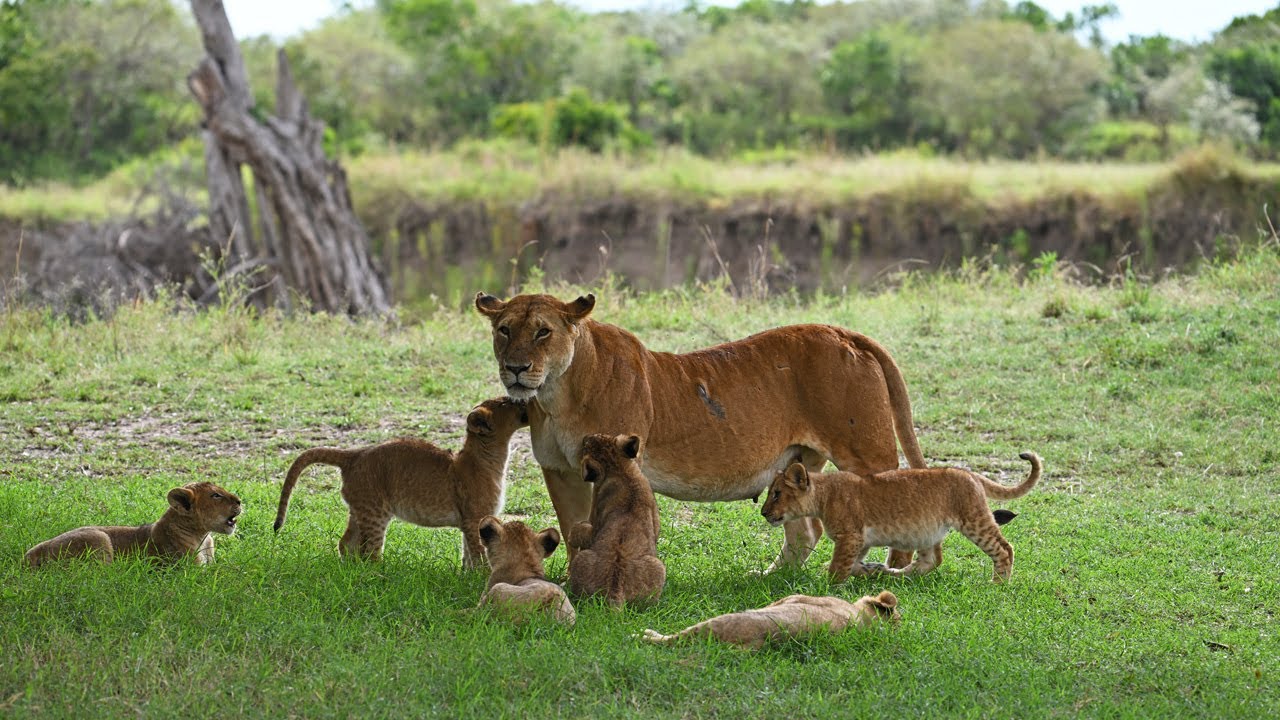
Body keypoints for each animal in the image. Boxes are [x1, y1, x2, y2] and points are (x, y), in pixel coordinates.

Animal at [273, 397, 528, 566]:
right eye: (505, 403)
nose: (520, 398)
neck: (491, 457)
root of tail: (355, 454)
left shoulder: (469, 521)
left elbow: (468, 554)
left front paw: (466, 575)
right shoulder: (474, 519)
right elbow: (478, 554)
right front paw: (481, 578)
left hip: (359, 509)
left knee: (346, 544)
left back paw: (349, 571)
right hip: (376, 512)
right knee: (370, 552)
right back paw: (379, 575)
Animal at [474, 291, 927, 572]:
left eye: (543, 331)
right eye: (504, 330)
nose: (515, 368)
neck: (557, 395)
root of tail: (844, 331)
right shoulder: (560, 470)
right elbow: (572, 531)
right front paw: (571, 581)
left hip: (865, 452)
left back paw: (893, 571)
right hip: (798, 463)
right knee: (805, 530)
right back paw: (771, 579)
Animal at [566, 434, 666, 607]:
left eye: (586, 444)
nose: (585, 437)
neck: (620, 470)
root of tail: (615, 588)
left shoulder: (595, 523)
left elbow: (580, 529)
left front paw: (572, 536)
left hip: (581, 558)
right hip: (656, 566)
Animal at [760, 452, 1042, 583]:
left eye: (776, 494)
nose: (763, 512)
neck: (823, 495)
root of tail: (969, 473)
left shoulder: (850, 536)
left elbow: (838, 566)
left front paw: (827, 586)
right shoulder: (860, 540)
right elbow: (853, 564)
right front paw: (869, 570)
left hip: (973, 520)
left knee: (1004, 548)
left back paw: (998, 583)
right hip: (927, 532)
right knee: (930, 561)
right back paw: (893, 573)